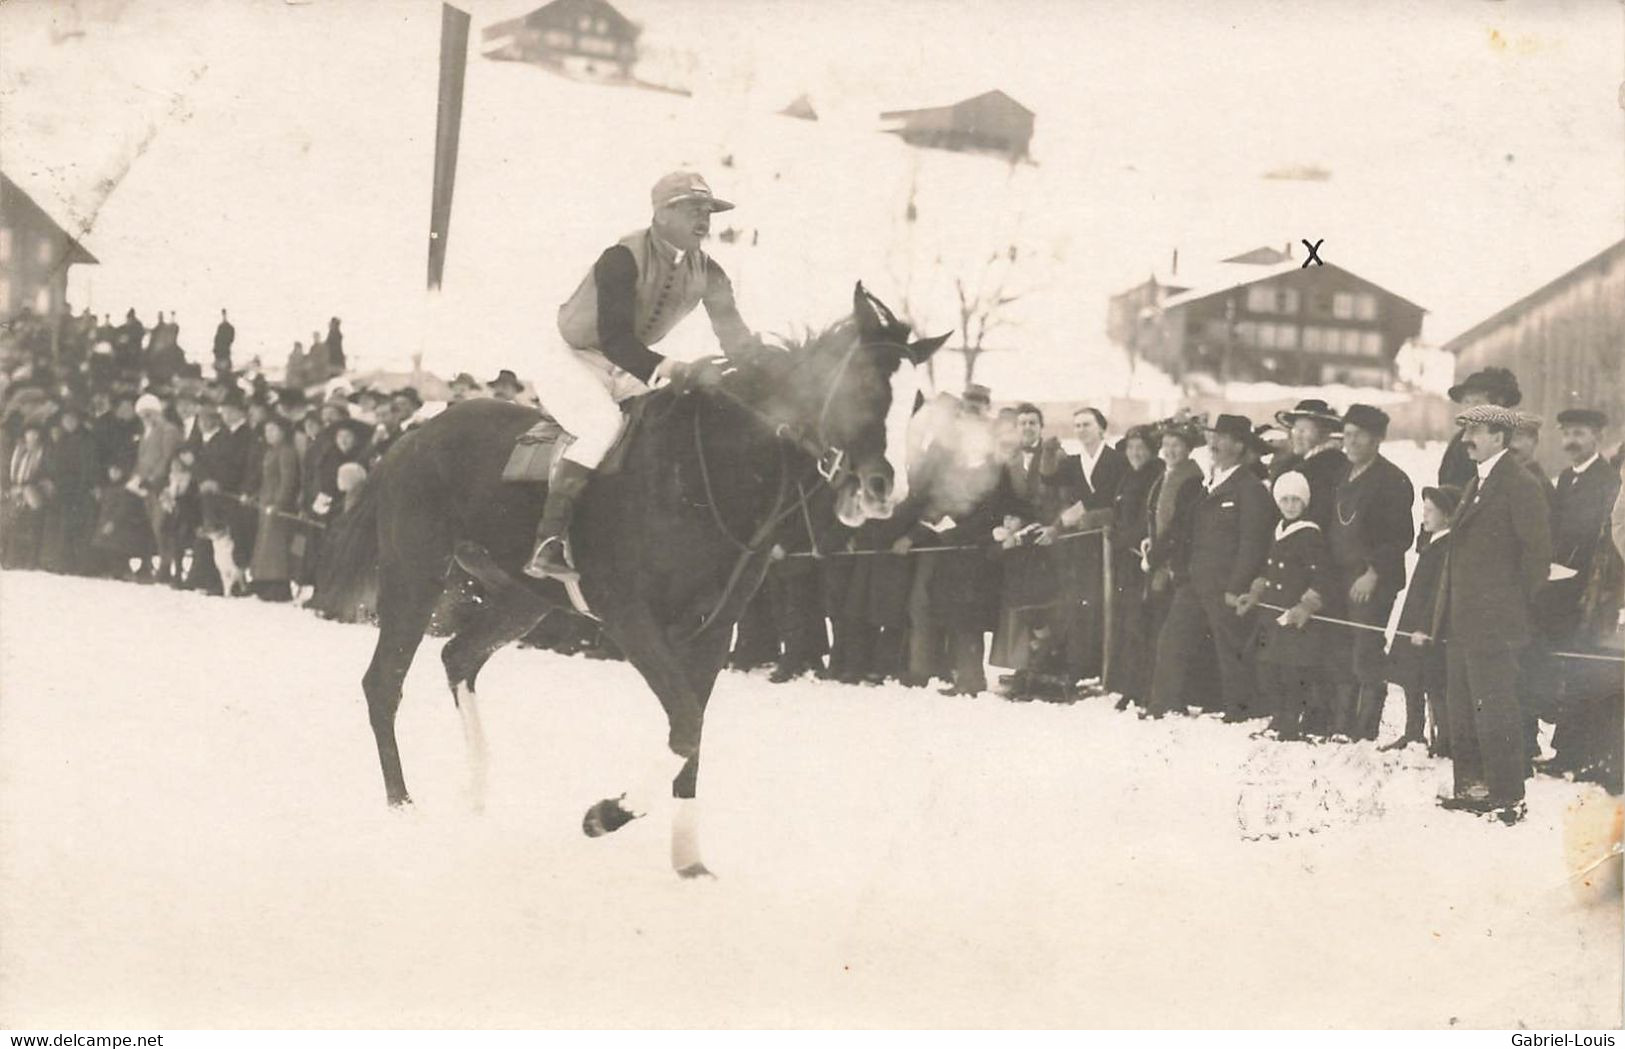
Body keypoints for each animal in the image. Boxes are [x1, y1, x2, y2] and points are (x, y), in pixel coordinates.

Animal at [321, 284, 949, 876]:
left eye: (916, 401)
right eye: (867, 388)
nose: (886, 488)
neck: (707, 476)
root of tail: (411, 437)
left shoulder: (714, 630)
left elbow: (691, 732)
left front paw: (688, 858)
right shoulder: (630, 616)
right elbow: (686, 723)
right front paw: (606, 814)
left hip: (523, 599)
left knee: (458, 658)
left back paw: (475, 791)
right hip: (414, 574)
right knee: (384, 682)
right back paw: (403, 806)